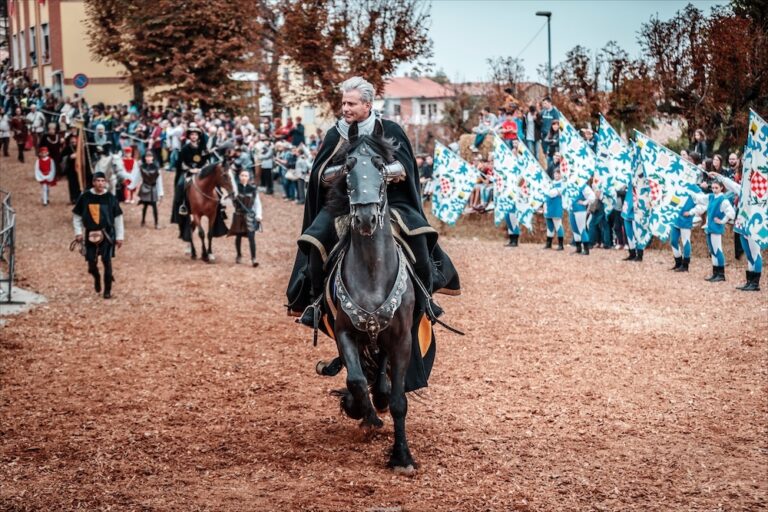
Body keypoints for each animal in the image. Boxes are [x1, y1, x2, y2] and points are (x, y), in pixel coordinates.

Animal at [322, 125, 420, 476]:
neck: (372, 271)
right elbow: (354, 379)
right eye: (348, 167)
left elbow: (398, 401)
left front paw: (402, 457)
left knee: (382, 376)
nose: (365, 218)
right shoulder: (344, 333)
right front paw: (363, 414)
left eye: (379, 165)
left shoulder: (402, 339)